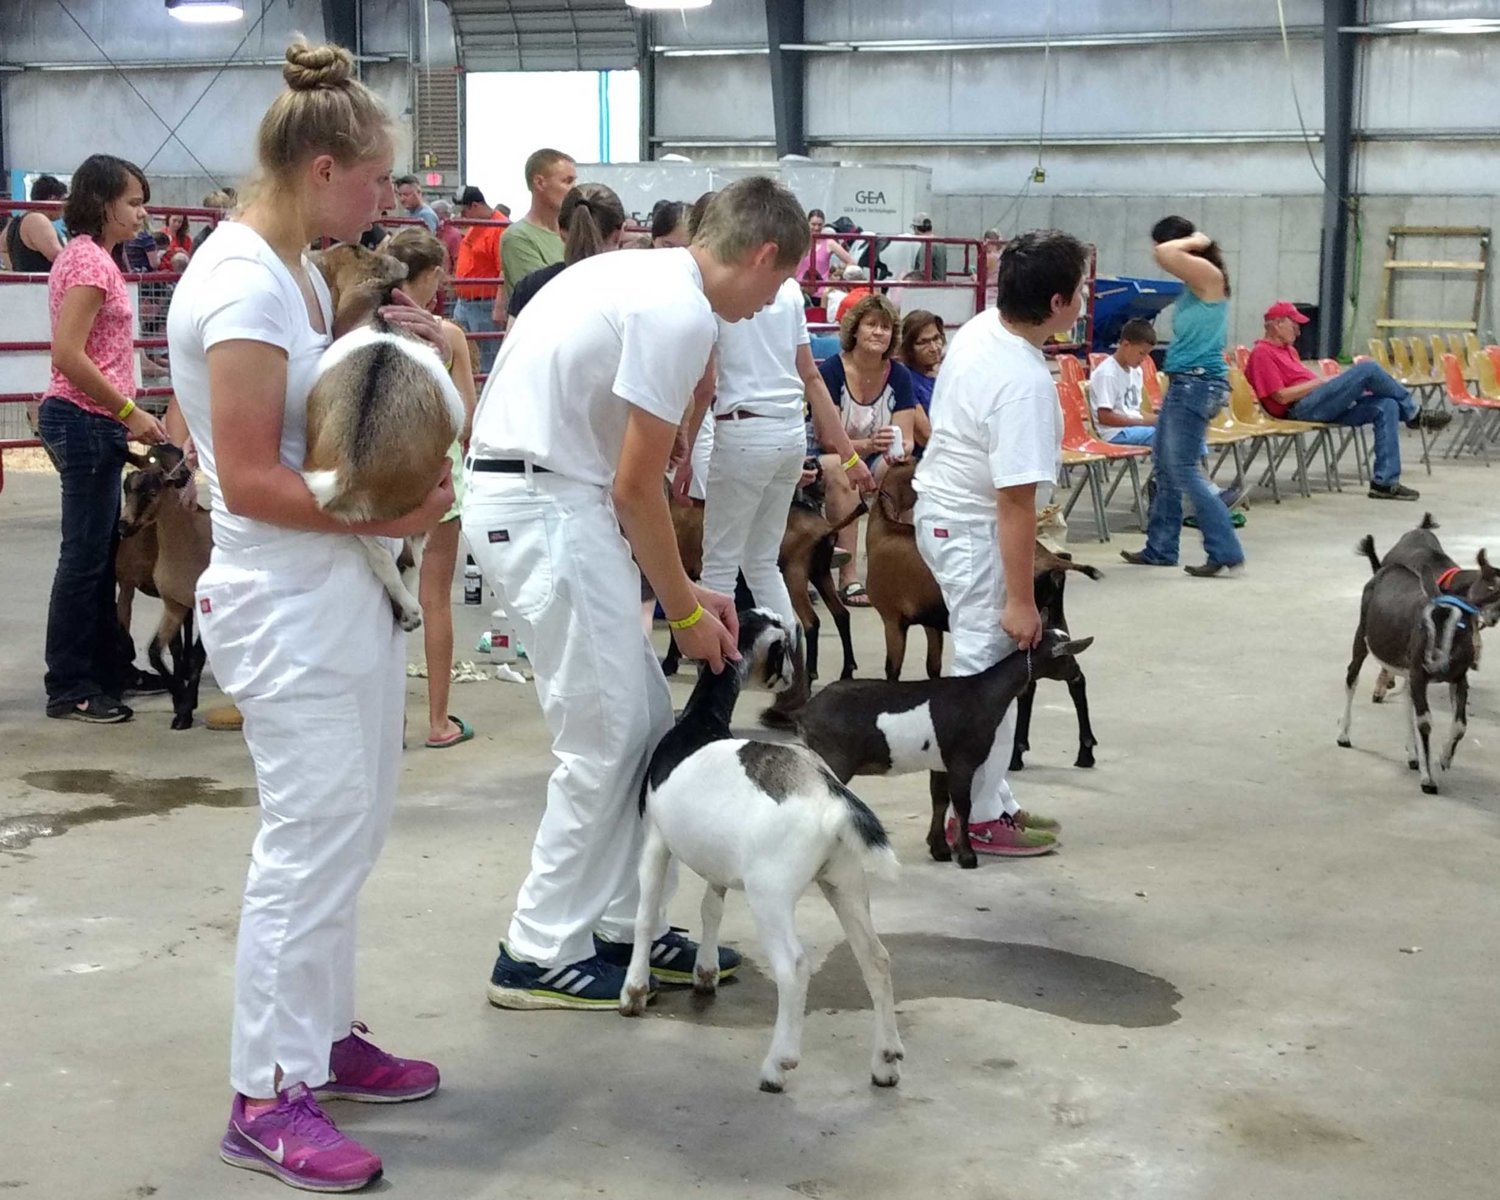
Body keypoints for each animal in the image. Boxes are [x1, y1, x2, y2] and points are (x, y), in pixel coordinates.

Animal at [621, 609, 900, 1098]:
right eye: (783, 644)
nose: (790, 677)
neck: (698, 724)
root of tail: (829, 795)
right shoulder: (718, 860)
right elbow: (710, 907)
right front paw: (706, 973)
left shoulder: (655, 839)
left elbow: (646, 916)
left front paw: (633, 991)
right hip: (844, 879)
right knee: (876, 957)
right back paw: (885, 1061)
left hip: (770, 894)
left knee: (794, 966)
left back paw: (777, 1065)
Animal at [792, 627, 1098, 870]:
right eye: (1067, 656)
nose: (1077, 674)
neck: (982, 694)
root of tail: (806, 711)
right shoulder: (963, 760)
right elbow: (962, 805)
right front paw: (967, 857)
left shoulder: (939, 761)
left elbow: (939, 800)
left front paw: (939, 849)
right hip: (835, 759)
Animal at [1338, 510, 1500, 792]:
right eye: (1426, 623)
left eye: (1460, 626)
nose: (1434, 660)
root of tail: (1385, 569)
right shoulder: (1419, 671)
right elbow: (1425, 721)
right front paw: (1429, 779)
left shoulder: (1457, 677)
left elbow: (1459, 725)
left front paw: (1443, 759)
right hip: (1363, 634)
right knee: (1352, 676)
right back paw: (1344, 735)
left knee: (1406, 698)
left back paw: (1413, 756)